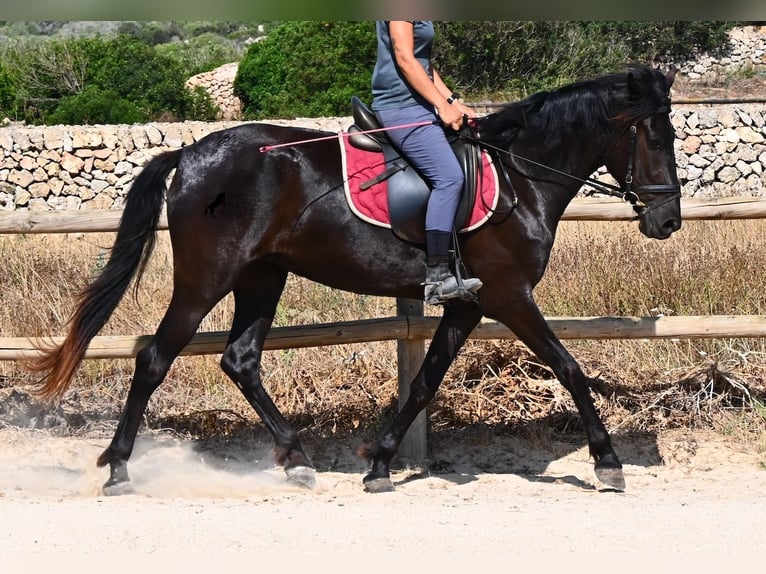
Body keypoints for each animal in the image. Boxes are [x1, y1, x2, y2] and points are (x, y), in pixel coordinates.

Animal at [26, 64, 681, 495]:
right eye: (655, 137)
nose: (668, 221)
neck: (521, 176)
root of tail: (189, 155)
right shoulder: (508, 295)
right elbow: (569, 368)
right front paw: (608, 461)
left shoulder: (467, 305)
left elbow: (425, 382)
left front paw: (380, 462)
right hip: (206, 278)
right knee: (155, 358)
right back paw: (119, 466)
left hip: (262, 277)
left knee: (240, 360)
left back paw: (295, 460)